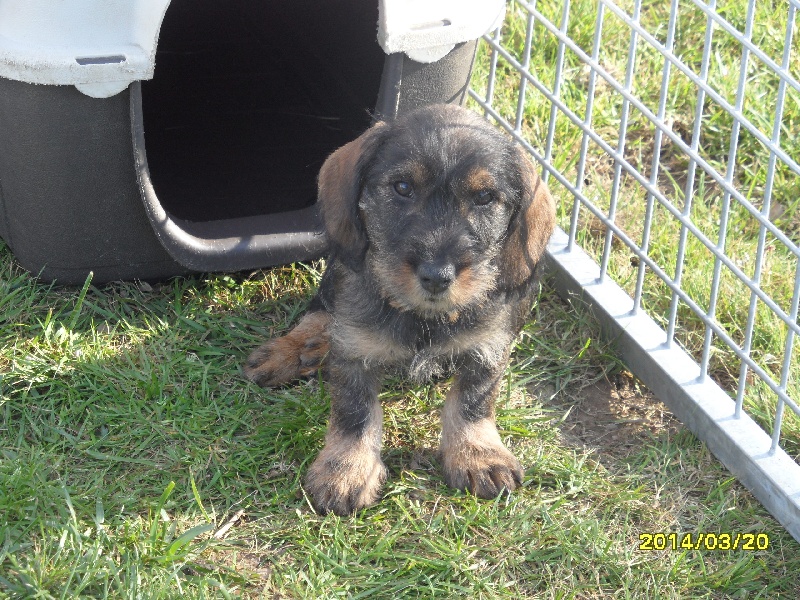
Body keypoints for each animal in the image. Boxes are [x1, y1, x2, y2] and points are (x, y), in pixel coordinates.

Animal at [245, 103, 556, 516]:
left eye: (485, 197)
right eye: (403, 188)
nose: (437, 276)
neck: (422, 318)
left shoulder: (488, 349)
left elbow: (472, 402)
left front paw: (477, 454)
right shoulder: (353, 352)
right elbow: (355, 414)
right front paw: (346, 470)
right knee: (319, 313)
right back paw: (294, 350)